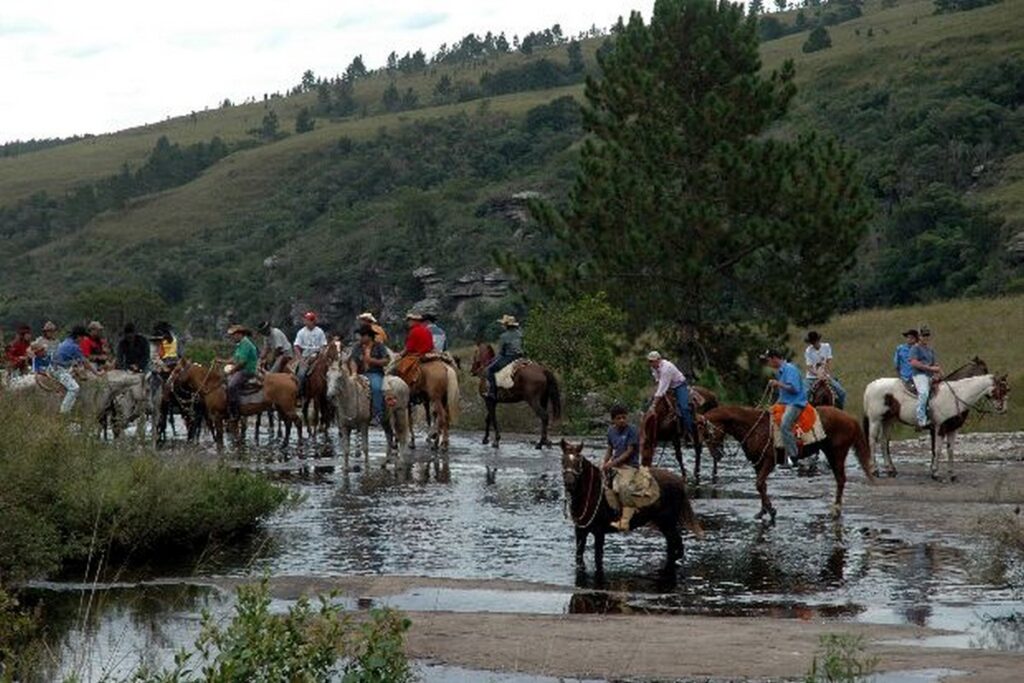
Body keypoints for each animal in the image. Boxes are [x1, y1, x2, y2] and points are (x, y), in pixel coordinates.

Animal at [167, 358, 301, 448]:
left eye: (177, 370)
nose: (169, 381)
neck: (212, 386)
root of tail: (289, 377)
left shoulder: (217, 417)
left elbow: (220, 438)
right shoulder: (232, 419)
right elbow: (234, 435)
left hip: (287, 408)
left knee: (297, 422)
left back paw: (299, 444)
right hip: (281, 408)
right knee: (288, 423)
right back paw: (284, 444)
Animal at [561, 438, 704, 577]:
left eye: (578, 462)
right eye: (563, 461)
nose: (569, 483)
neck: (592, 493)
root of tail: (679, 482)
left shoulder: (599, 532)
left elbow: (598, 558)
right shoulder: (580, 531)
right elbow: (579, 557)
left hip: (668, 522)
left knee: (676, 546)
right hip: (664, 523)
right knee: (674, 546)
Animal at [696, 405, 872, 524]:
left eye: (707, 433)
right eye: (702, 434)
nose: (716, 455)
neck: (753, 426)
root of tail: (850, 419)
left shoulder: (769, 461)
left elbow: (759, 484)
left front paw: (771, 510)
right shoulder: (757, 463)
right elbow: (761, 485)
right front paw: (763, 511)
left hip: (836, 453)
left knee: (841, 479)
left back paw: (836, 510)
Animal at [860, 374, 1011, 481]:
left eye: (1007, 389)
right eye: (1002, 389)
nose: (1003, 409)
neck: (957, 396)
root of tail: (870, 386)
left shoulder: (953, 429)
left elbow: (950, 450)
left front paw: (952, 474)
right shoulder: (940, 428)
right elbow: (937, 450)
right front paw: (936, 473)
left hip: (888, 420)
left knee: (884, 442)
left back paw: (891, 470)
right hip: (875, 420)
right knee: (872, 441)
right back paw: (875, 470)